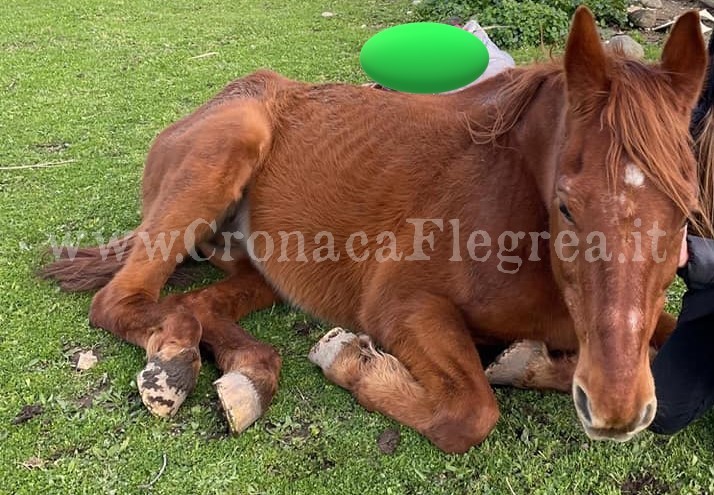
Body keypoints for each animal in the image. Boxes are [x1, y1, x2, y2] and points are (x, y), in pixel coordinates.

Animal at [44, 6, 708, 454]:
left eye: (686, 213)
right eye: (567, 206)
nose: (617, 410)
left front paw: (526, 361)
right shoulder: (400, 304)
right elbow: (470, 413)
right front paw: (348, 359)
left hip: (259, 269)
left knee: (199, 304)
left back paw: (246, 377)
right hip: (219, 159)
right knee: (123, 301)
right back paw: (175, 363)